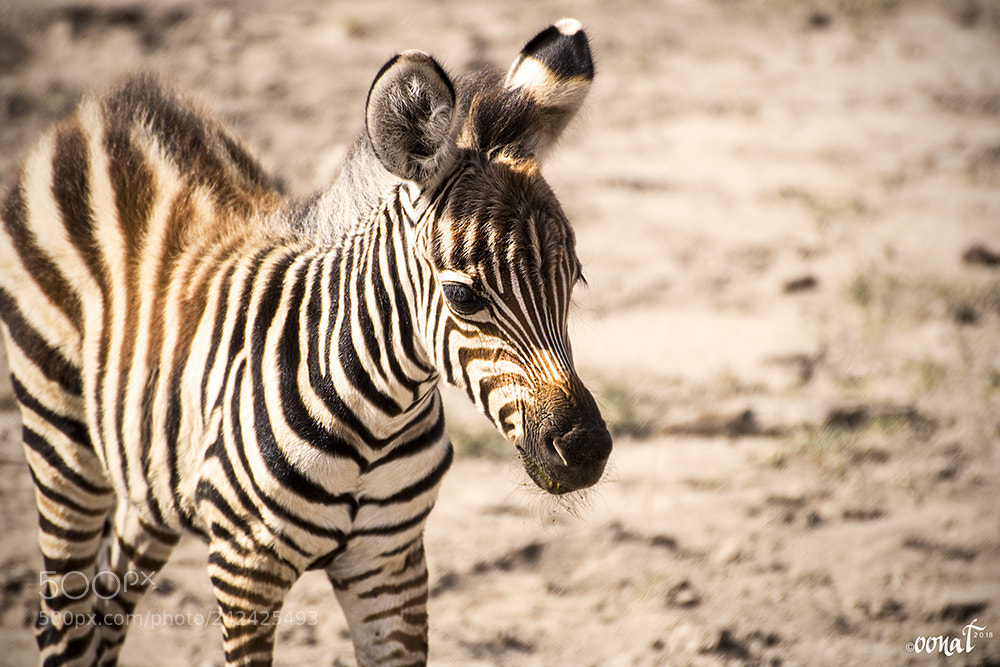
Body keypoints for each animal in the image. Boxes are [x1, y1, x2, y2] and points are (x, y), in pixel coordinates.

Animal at [0, 18, 612, 667]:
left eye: (575, 281)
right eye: (463, 297)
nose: (586, 448)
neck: (378, 417)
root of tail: (99, 113)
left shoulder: (389, 563)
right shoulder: (245, 565)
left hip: (151, 471)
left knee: (109, 599)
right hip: (59, 439)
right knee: (63, 618)